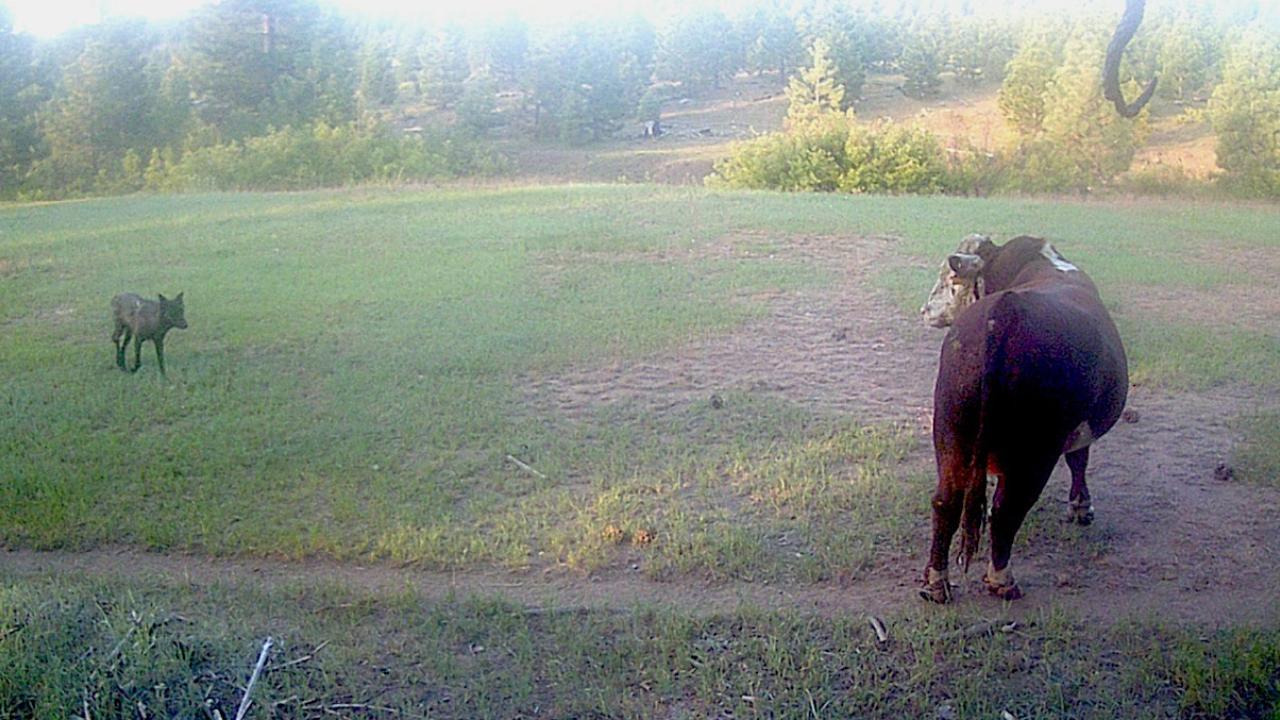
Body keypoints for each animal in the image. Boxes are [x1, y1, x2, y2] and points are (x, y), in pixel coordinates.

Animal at [918, 234, 1128, 603]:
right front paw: (1081, 507)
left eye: (949, 280)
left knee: (946, 502)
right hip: (1035, 450)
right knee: (1007, 509)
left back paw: (936, 583)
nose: (925, 311)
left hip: (950, 436)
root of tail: (1006, 311)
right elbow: (1079, 460)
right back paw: (1002, 580)